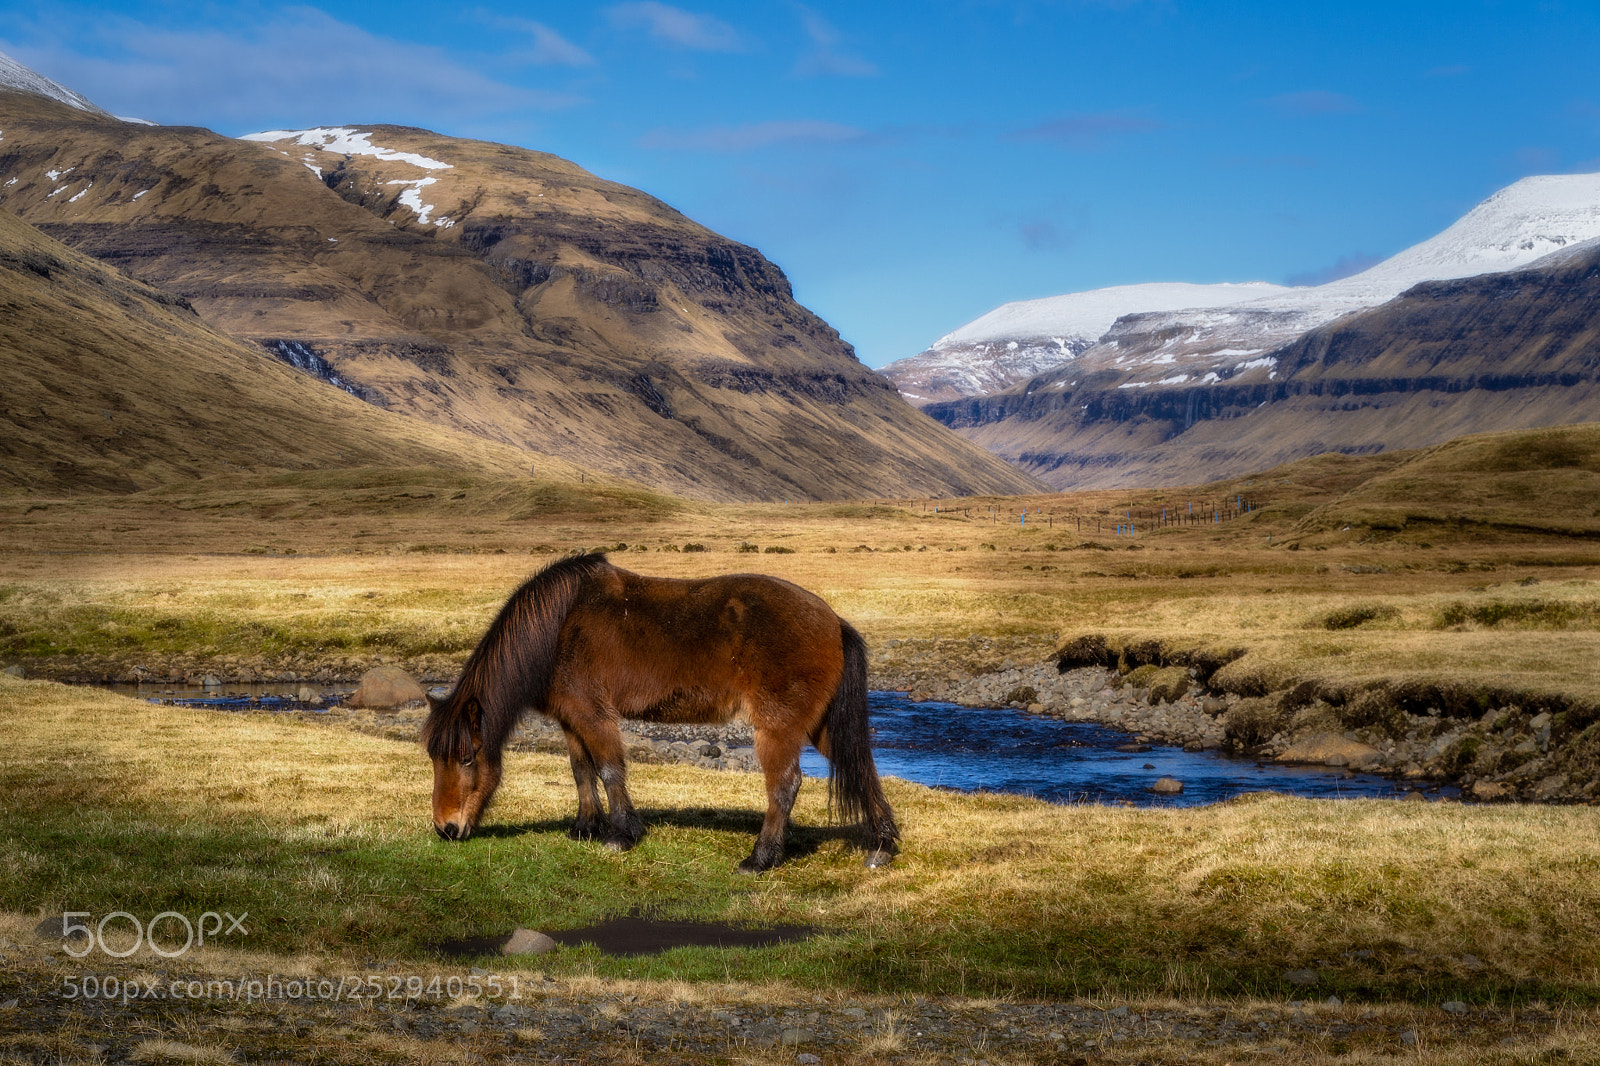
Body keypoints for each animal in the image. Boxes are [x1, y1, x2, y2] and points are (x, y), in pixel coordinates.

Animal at [420, 552, 898, 872]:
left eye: (467, 758)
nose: (446, 829)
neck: (556, 630)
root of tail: (832, 620)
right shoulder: (570, 719)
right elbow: (581, 770)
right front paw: (585, 827)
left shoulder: (594, 715)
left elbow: (609, 769)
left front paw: (621, 835)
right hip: (819, 726)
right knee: (859, 766)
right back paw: (882, 847)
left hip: (777, 727)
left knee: (784, 784)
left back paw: (760, 859)